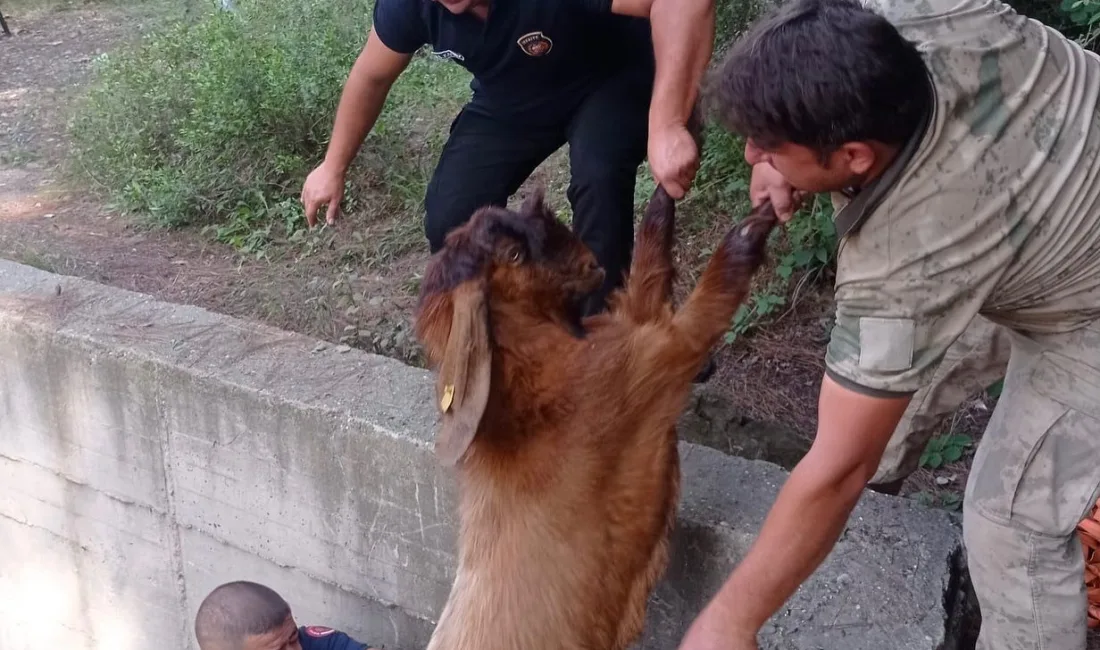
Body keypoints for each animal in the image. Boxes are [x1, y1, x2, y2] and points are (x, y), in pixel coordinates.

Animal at [413, 182, 783, 650]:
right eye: (514, 254)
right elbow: (702, 309)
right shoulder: (648, 362)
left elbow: (645, 279)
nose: (591, 263)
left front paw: (663, 194)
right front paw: (754, 226)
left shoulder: (625, 332)